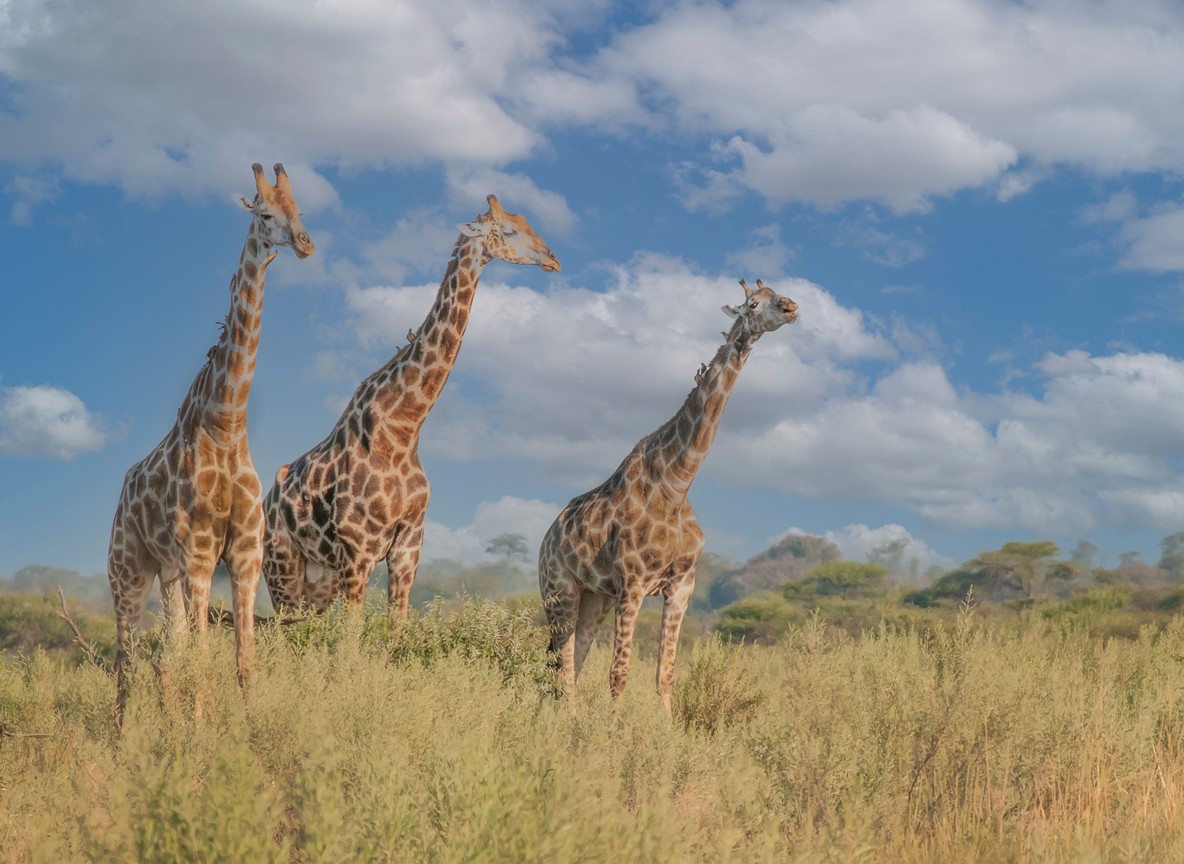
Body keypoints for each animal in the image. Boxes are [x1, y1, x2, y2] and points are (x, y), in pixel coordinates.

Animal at [107, 163, 315, 717]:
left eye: (299, 209)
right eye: (265, 215)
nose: (305, 243)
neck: (226, 423)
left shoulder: (244, 554)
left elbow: (244, 664)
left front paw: (246, 734)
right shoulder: (200, 555)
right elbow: (202, 661)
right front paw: (199, 740)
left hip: (167, 574)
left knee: (165, 655)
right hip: (128, 571)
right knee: (126, 661)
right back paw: (124, 735)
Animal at [262, 194, 560, 615]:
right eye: (509, 230)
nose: (553, 259)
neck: (402, 429)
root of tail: (266, 502)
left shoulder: (409, 545)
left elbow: (397, 624)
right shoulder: (358, 549)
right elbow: (352, 631)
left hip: (319, 580)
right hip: (282, 565)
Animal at [537, 278, 798, 714]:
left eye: (779, 293)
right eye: (752, 303)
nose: (791, 306)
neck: (677, 484)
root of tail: (545, 540)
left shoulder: (681, 587)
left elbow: (666, 674)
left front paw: (666, 728)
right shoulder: (633, 584)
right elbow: (620, 674)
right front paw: (615, 729)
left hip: (594, 598)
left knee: (571, 664)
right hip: (559, 590)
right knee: (561, 666)